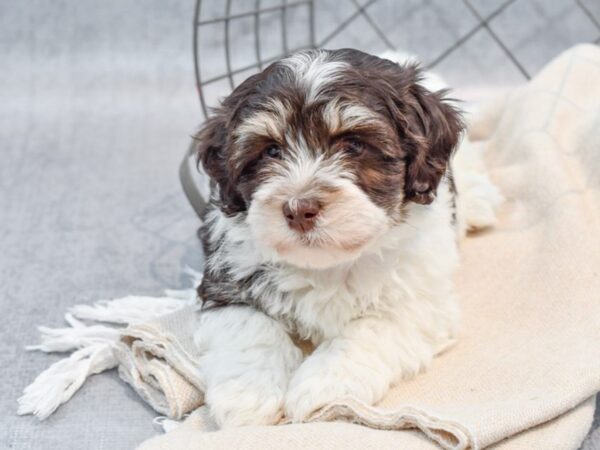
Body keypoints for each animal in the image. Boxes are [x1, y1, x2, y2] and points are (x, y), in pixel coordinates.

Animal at [192, 47, 502, 428]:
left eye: (354, 145)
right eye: (271, 151)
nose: (299, 209)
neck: (328, 262)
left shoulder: (417, 300)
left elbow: (367, 331)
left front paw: (323, 385)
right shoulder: (226, 281)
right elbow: (250, 328)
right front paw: (247, 394)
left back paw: (480, 199)